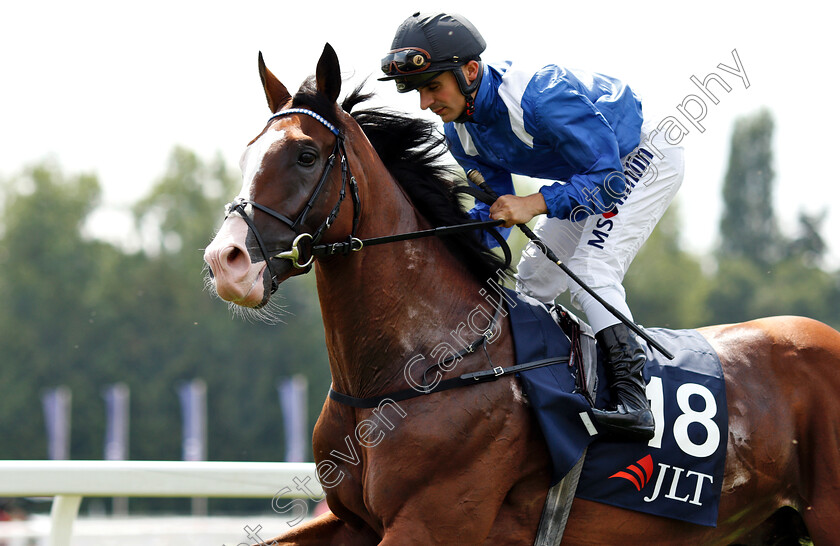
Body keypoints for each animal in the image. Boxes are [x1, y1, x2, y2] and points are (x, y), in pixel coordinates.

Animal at [205, 44, 840, 540]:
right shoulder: (354, 522)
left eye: (306, 154)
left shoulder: (431, 521)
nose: (225, 261)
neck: (425, 363)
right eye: (246, 153)